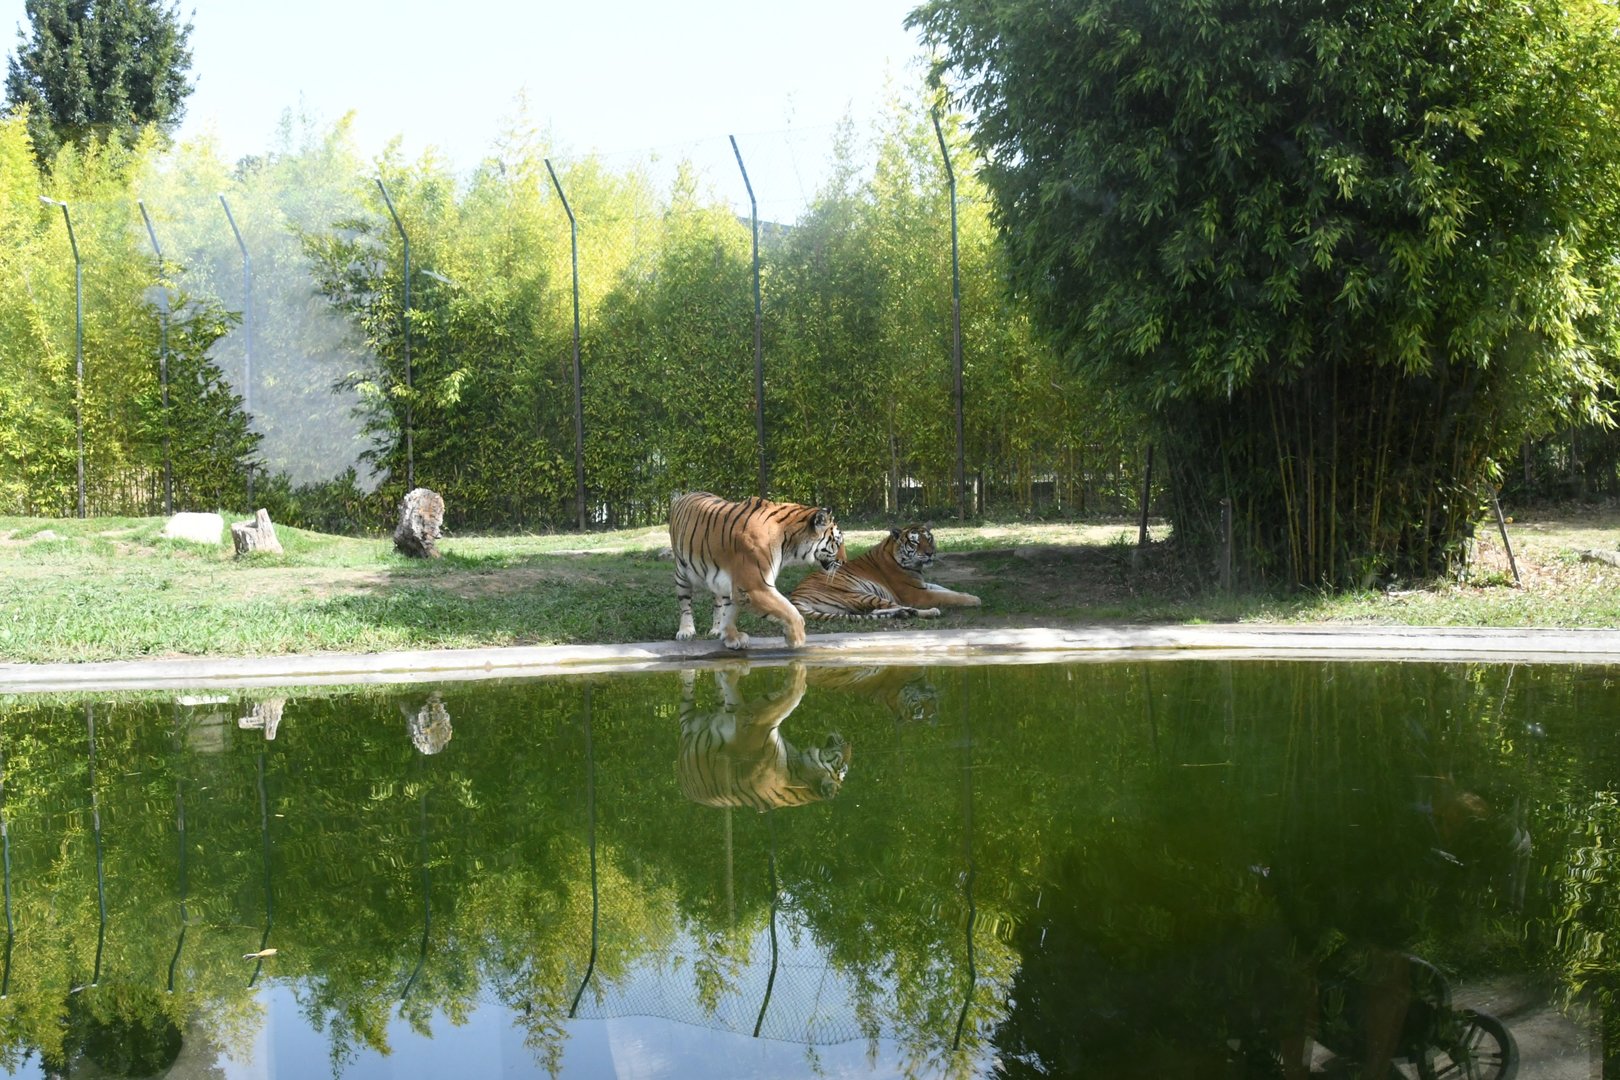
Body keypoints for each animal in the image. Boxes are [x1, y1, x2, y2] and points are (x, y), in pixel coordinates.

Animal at [669, 492, 845, 650]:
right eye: (837, 542)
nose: (843, 562)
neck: (790, 543)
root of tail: (685, 495)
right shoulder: (755, 586)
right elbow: (789, 610)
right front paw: (797, 639)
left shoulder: (738, 586)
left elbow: (730, 612)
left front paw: (731, 637)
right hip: (682, 573)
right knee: (685, 605)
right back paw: (686, 631)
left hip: (717, 580)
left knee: (718, 602)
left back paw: (716, 629)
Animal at [789, 523, 980, 621]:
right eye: (915, 542)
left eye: (929, 538)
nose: (930, 553)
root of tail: (795, 597)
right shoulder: (918, 594)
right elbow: (947, 596)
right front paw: (975, 599)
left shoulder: (923, 585)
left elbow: (946, 590)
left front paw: (967, 594)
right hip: (858, 594)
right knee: (896, 606)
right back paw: (929, 612)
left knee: (874, 611)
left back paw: (904, 613)